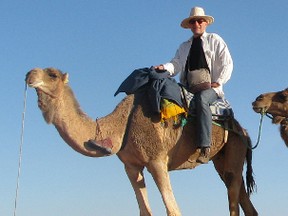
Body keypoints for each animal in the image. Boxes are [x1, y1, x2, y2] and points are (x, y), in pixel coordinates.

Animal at [25, 68, 258, 216]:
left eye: (52, 74)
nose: (29, 74)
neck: (121, 125)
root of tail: (244, 131)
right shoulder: (131, 165)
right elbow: (144, 210)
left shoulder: (157, 160)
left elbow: (173, 210)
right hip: (223, 159)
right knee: (242, 197)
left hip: (234, 147)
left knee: (233, 197)